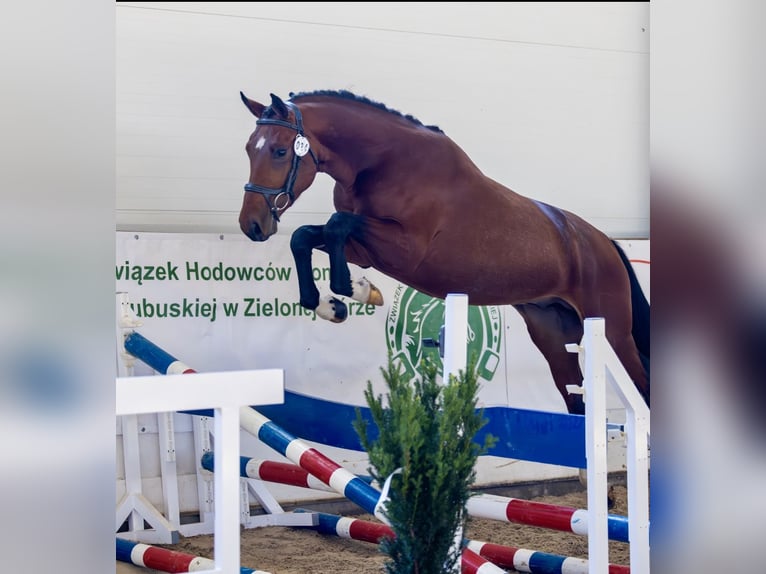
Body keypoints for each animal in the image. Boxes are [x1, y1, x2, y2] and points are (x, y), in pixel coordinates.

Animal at [237, 89, 649, 416]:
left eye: (279, 151)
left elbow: (337, 224)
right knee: (576, 402)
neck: (382, 162)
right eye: (248, 150)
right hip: (553, 333)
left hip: (612, 334)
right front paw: (332, 304)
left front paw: (353, 291)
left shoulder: (405, 249)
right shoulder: (363, 250)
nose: (251, 225)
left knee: (642, 388)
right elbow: (305, 236)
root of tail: (604, 242)